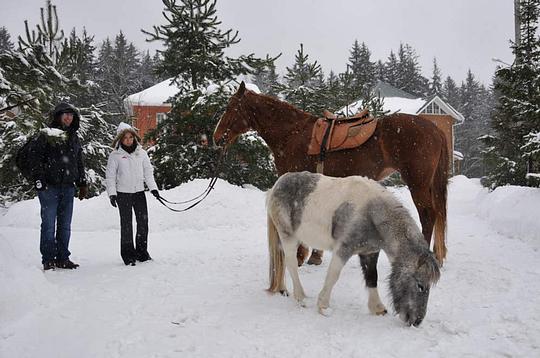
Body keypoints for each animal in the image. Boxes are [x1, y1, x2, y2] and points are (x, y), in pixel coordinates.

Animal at [213, 82, 450, 268]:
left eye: (231, 107)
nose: (216, 138)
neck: (292, 133)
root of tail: (435, 128)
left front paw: (300, 255)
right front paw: (314, 256)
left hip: (417, 183)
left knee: (428, 215)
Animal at [266, 172, 438, 326]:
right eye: (420, 286)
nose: (417, 321)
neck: (371, 213)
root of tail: (276, 185)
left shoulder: (369, 253)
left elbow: (372, 277)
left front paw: (377, 308)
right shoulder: (343, 249)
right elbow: (333, 276)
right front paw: (323, 307)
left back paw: (283, 290)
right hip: (288, 237)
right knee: (291, 264)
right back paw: (301, 297)